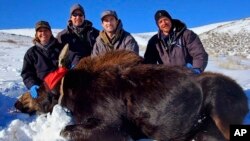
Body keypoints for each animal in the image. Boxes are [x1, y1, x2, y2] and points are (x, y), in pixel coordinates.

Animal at [15, 49, 248, 140]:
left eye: (40, 90)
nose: (17, 103)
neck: (71, 93)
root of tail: (245, 100)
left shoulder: (116, 127)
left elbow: (66, 130)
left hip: (220, 109)